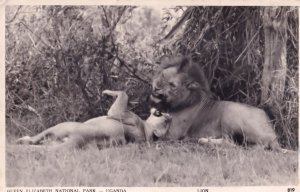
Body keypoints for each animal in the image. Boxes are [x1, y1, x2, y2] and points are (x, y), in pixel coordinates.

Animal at [17, 89, 171, 149]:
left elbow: (123, 93)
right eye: (166, 120)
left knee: (32, 141)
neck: (145, 128)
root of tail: (79, 139)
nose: (167, 114)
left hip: (59, 126)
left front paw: (107, 92)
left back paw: (23, 140)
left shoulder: (122, 113)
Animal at [151, 55, 292, 153]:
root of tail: (273, 137)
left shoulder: (173, 134)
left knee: (231, 143)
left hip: (230, 114)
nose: (156, 88)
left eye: (172, 85)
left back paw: (204, 140)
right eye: (162, 75)